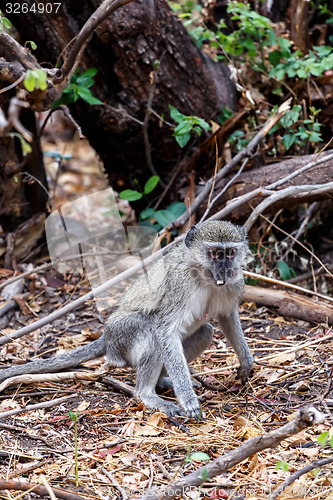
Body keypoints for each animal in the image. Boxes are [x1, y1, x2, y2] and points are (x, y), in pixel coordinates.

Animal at [0, 222, 252, 418]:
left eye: (230, 253)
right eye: (215, 254)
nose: (225, 270)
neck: (205, 275)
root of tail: (106, 336)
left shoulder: (235, 283)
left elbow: (227, 316)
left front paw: (246, 362)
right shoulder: (180, 285)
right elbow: (165, 330)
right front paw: (187, 399)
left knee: (206, 330)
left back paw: (162, 381)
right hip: (121, 337)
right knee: (152, 333)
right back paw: (147, 394)